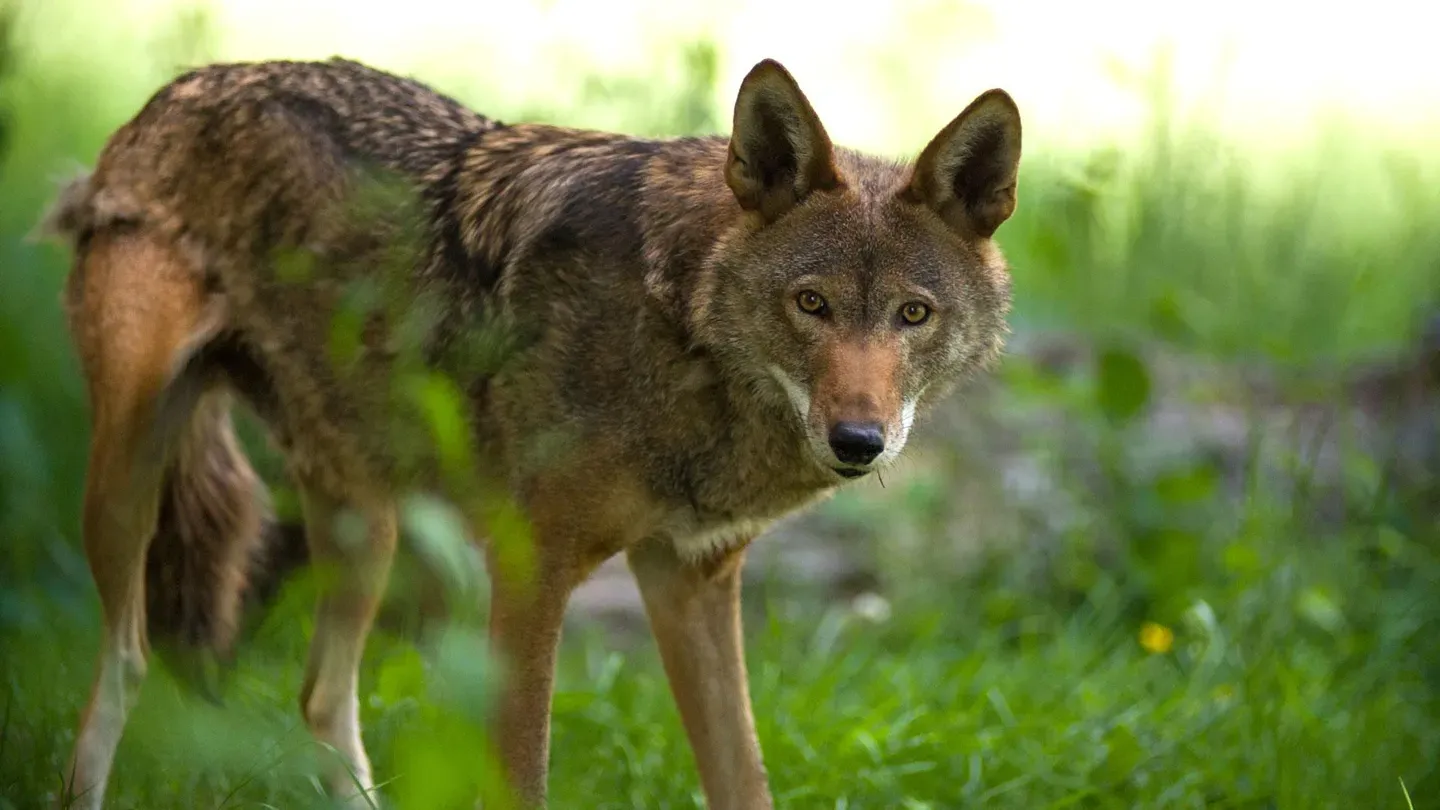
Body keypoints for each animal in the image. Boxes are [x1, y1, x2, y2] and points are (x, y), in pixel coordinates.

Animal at [38, 54, 1021, 809]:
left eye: (913, 314)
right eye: (810, 304)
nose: (859, 441)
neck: (680, 333)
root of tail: (175, 93)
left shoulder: (692, 577)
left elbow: (744, 781)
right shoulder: (530, 571)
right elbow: (523, 779)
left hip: (369, 525)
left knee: (318, 696)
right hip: (128, 487)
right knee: (124, 666)